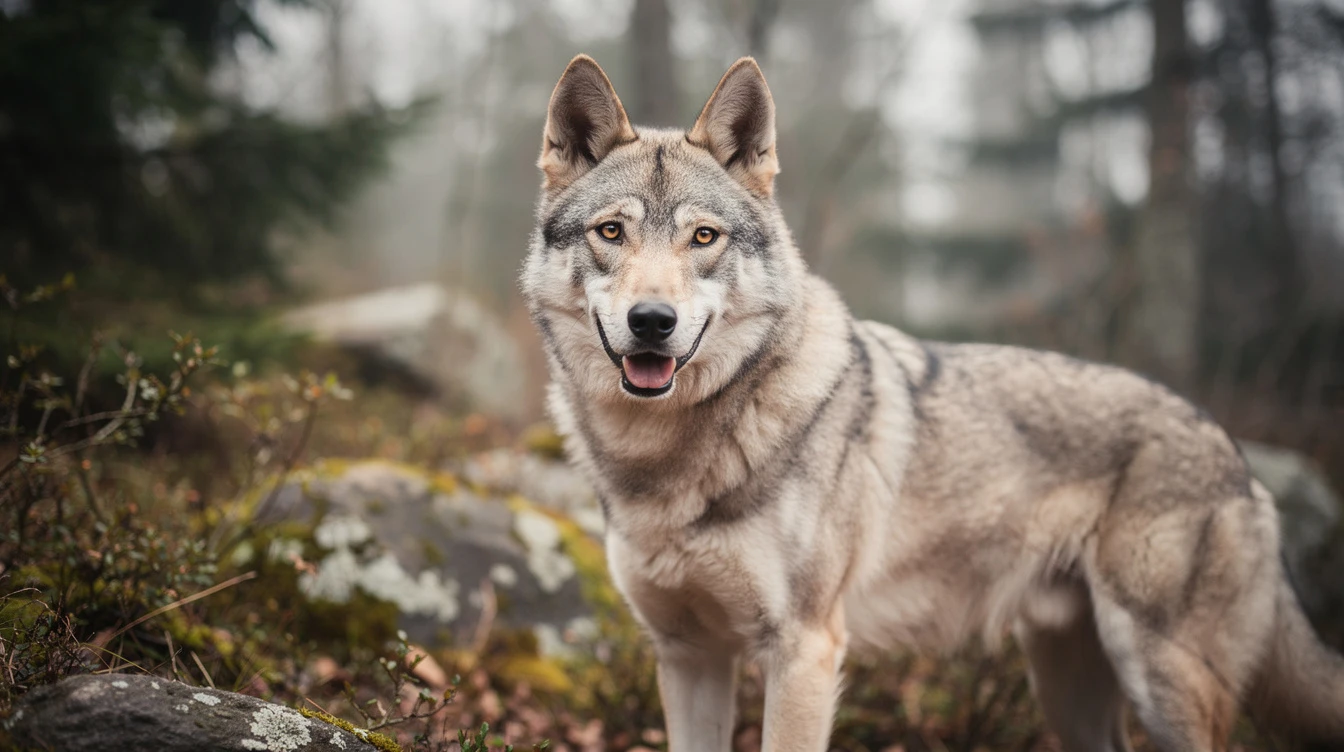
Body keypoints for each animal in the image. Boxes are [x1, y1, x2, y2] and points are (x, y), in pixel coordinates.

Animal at [520, 55, 1344, 752]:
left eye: (702, 237)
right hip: (1069, 688)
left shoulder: (804, 651)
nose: (652, 322)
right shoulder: (688, 657)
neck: (663, 459)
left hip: (1160, 678)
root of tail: (1233, 449)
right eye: (611, 232)